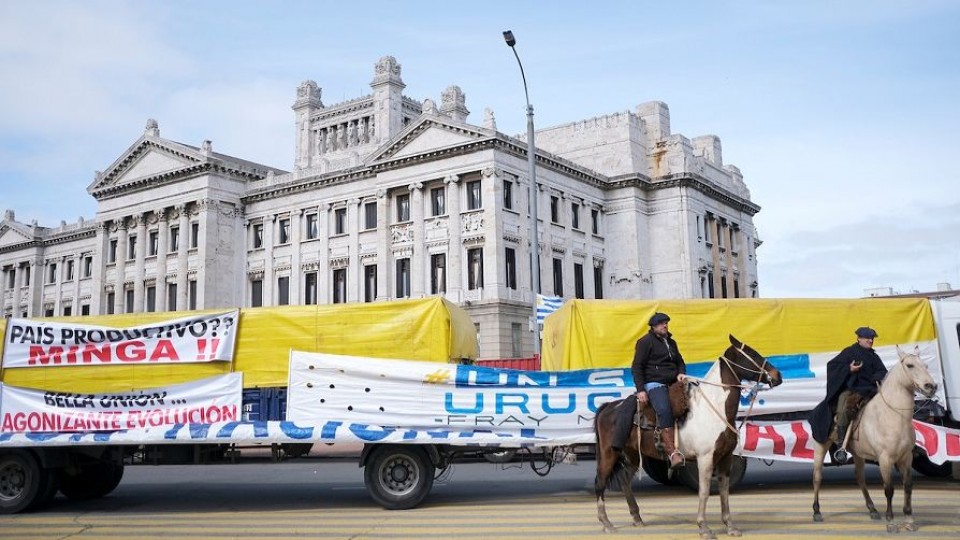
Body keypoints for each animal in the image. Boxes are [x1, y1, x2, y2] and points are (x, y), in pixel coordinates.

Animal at [588, 336, 784, 536]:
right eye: (752, 354)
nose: (777, 375)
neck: (713, 409)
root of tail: (608, 407)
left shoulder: (726, 457)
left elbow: (724, 491)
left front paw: (730, 526)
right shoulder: (705, 458)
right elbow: (704, 492)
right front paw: (704, 527)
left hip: (632, 455)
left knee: (625, 481)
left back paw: (637, 518)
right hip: (609, 453)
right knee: (600, 482)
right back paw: (606, 523)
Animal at [808, 346, 936, 532]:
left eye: (926, 365)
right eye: (910, 365)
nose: (931, 386)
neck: (894, 416)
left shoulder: (906, 458)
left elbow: (908, 486)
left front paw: (909, 520)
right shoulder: (885, 459)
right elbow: (889, 489)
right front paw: (891, 522)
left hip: (858, 454)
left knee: (860, 478)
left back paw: (873, 509)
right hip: (820, 447)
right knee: (817, 477)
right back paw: (817, 512)